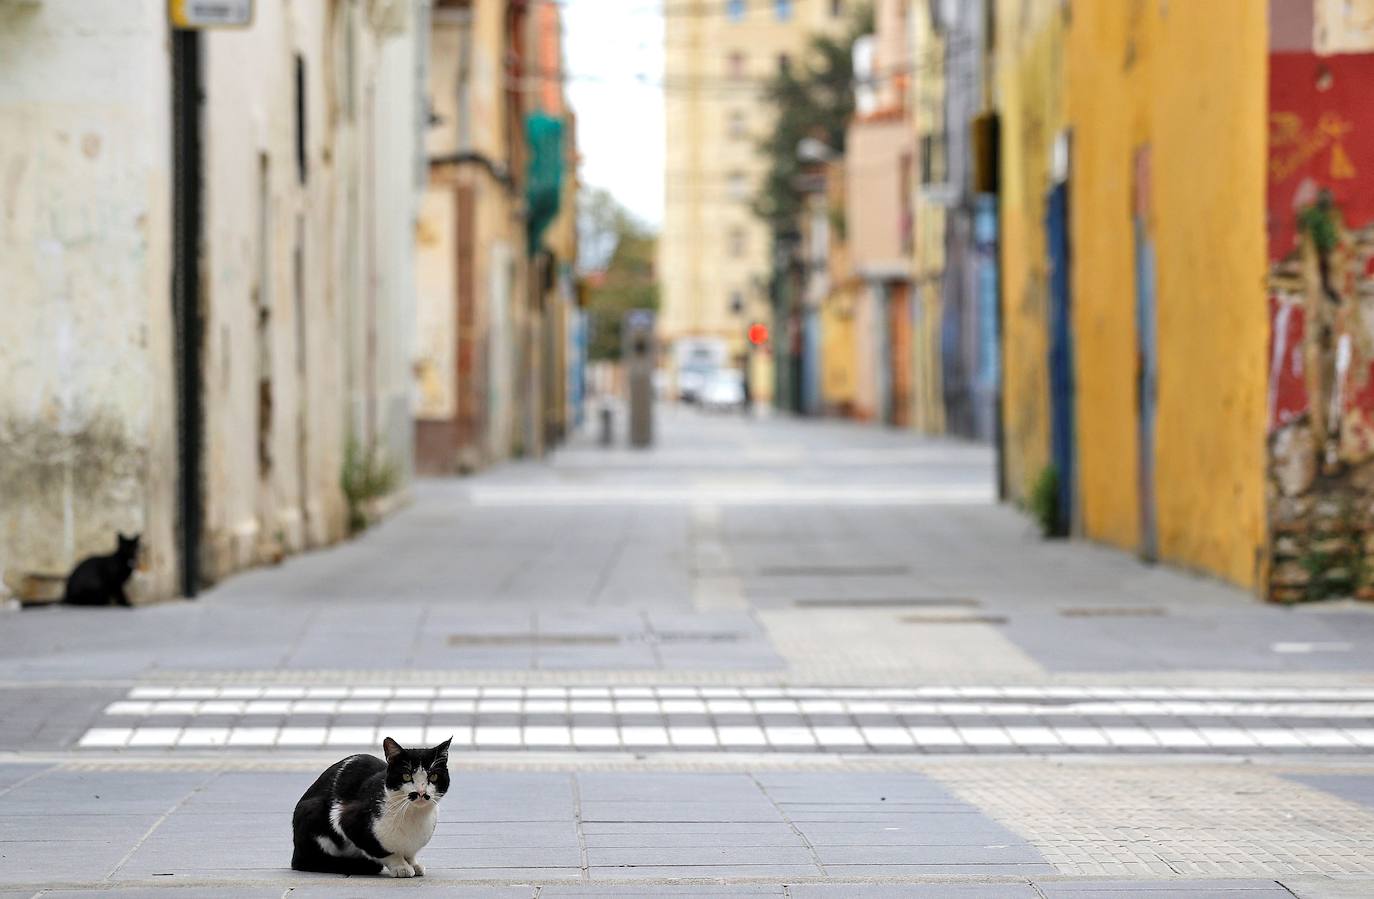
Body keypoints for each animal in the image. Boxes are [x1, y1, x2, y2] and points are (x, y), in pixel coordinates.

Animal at [289, 736, 450, 879]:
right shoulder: (344, 818)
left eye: (433, 777)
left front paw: (413, 864)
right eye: (406, 776)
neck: (413, 815)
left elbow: (410, 854)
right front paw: (401, 866)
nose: (421, 793)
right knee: (305, 861)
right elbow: (383, 851)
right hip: (311, 811)